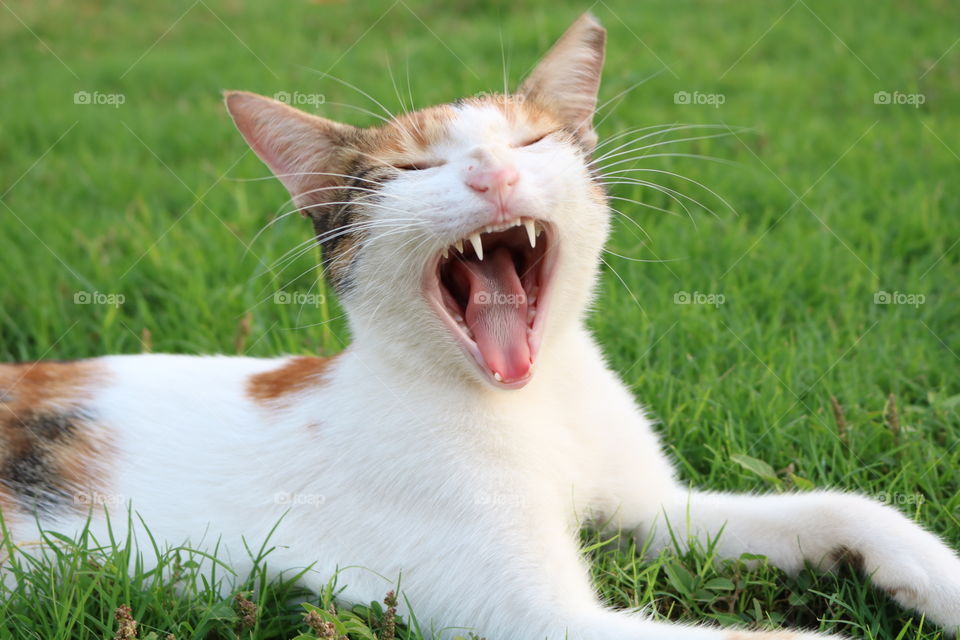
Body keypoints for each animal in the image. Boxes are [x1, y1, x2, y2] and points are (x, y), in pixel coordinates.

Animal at [1, 11, 960, 640]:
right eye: (413, 168)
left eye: (531, 143)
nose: (492, 171)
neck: (534, 404)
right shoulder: (540, 618)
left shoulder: (658, 511)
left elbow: (837, 506)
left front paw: (936, 577)